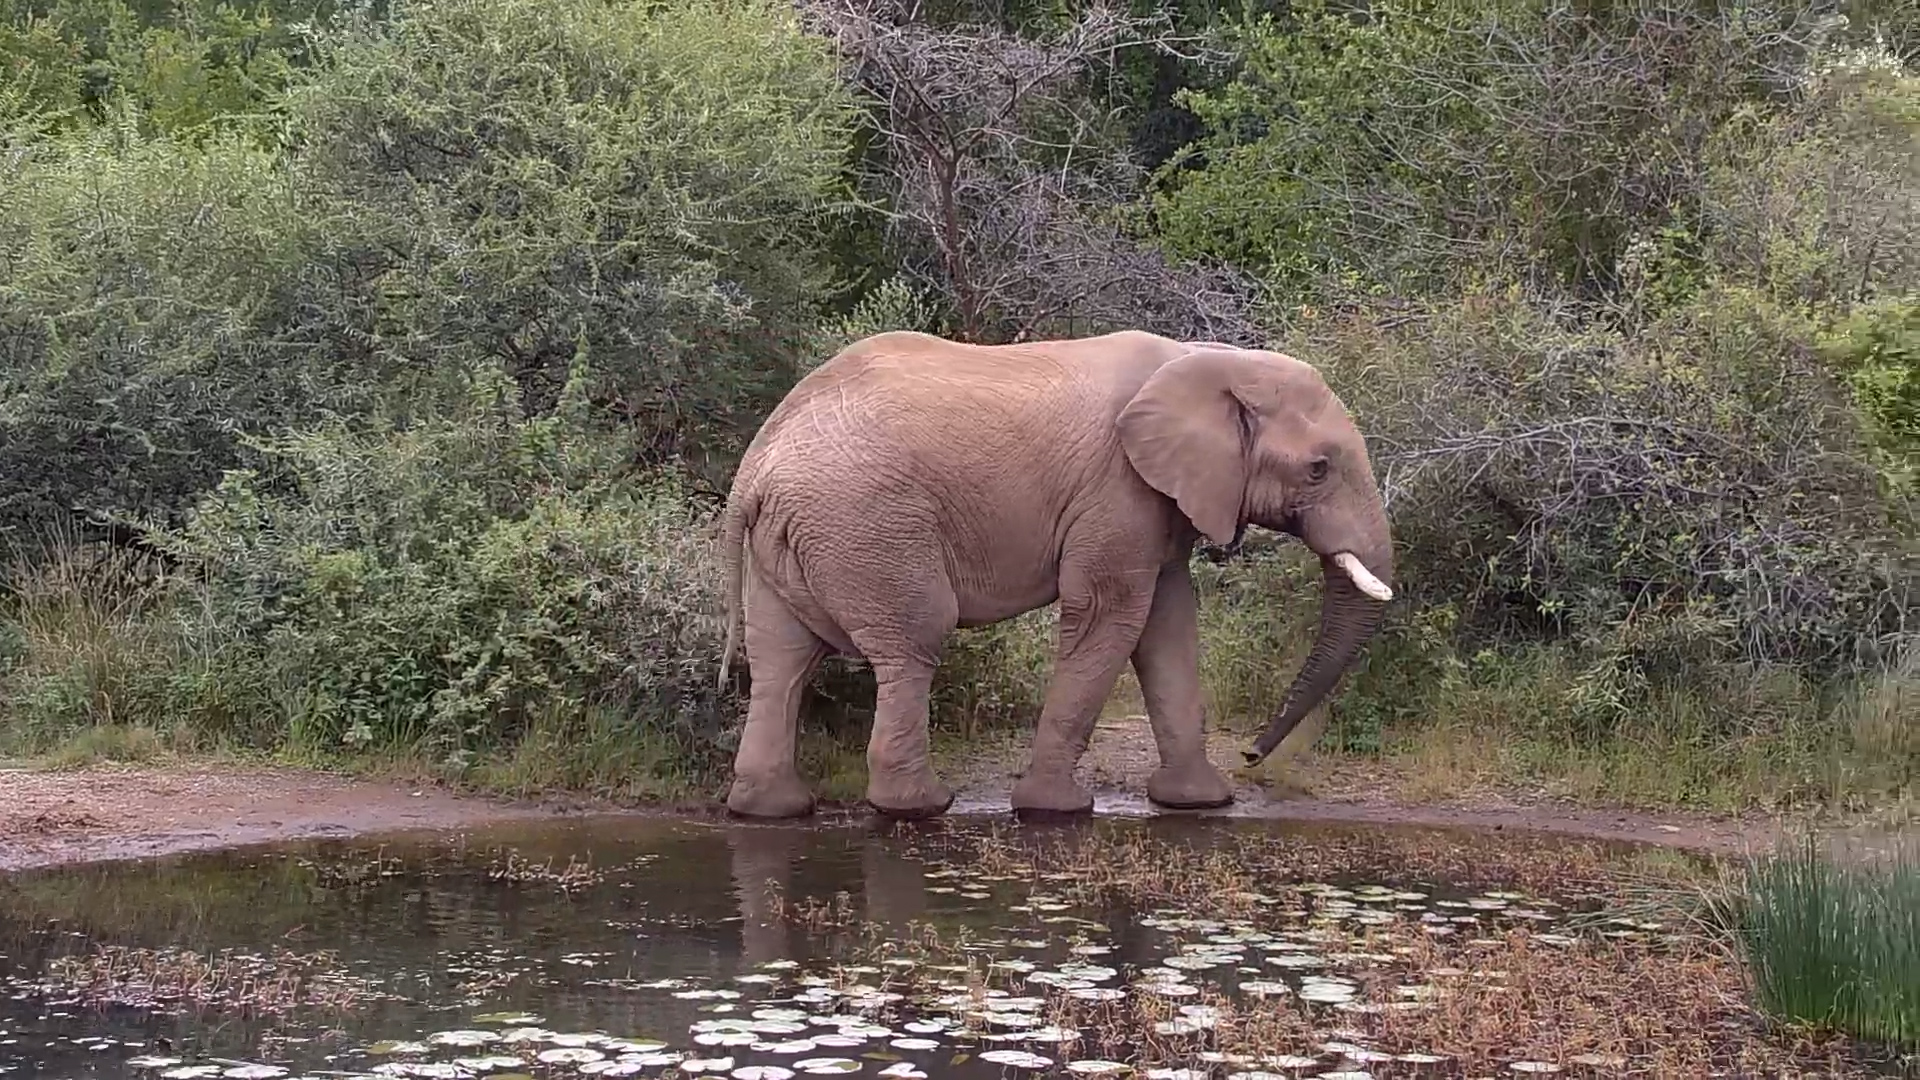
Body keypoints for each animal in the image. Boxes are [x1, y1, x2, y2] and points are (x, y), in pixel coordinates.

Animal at [715, 329, 1395, 820]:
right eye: (1318, 469)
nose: (1252, 752)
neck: (1207, 360)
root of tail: (756, 468)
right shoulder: (1116, 490)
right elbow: (1108, 618)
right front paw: (1056, 810)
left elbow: (1169, 626)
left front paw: (1201, 802)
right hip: (868, 525)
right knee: (915, 642)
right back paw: (920, 807)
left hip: (796, 540)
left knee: (780, 661)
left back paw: (769, 810)